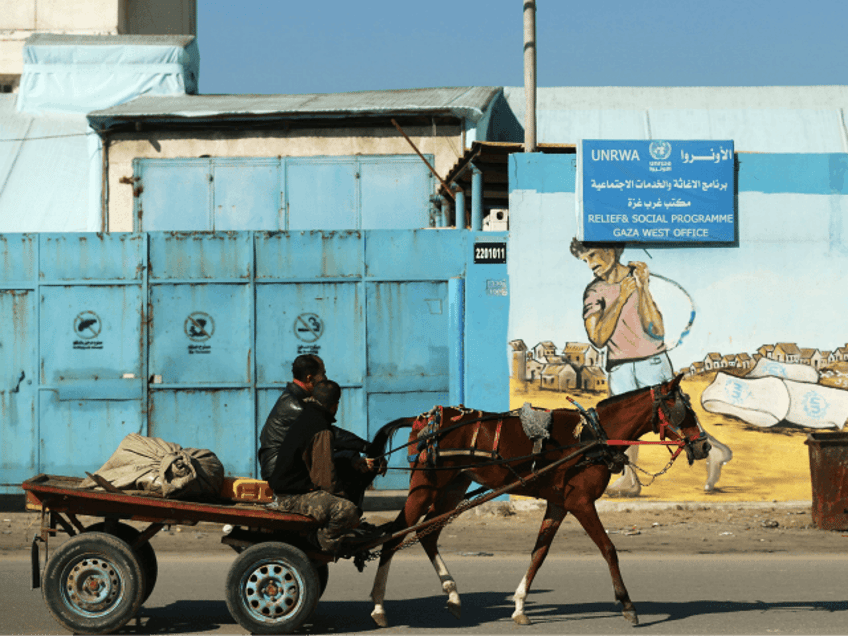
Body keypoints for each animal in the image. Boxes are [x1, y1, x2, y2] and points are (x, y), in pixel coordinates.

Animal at [362, 376, 712, 628]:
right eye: (683, 410)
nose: (704, 446)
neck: (592, 437)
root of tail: (422, 419)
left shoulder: (559, 503)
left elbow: (538, 554)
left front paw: (519, 606)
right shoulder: (581, 502)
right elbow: (608, 549)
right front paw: (627, 605)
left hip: (453, 487)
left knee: (427, 534)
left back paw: (453, 597)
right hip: (425, 486)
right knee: (393, 536)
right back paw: (378, 606)